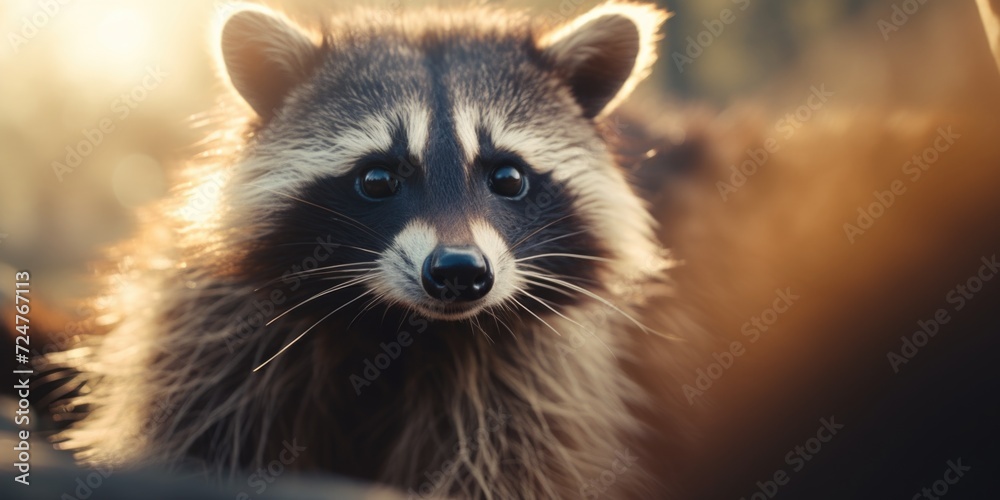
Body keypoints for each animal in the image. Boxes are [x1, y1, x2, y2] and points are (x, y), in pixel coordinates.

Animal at [48, 1, 688, 498]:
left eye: (507, 177)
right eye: (378, 178)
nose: (460, 272)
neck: (395, 325)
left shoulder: (537, 376)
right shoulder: (215, 336)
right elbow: (195, 434)